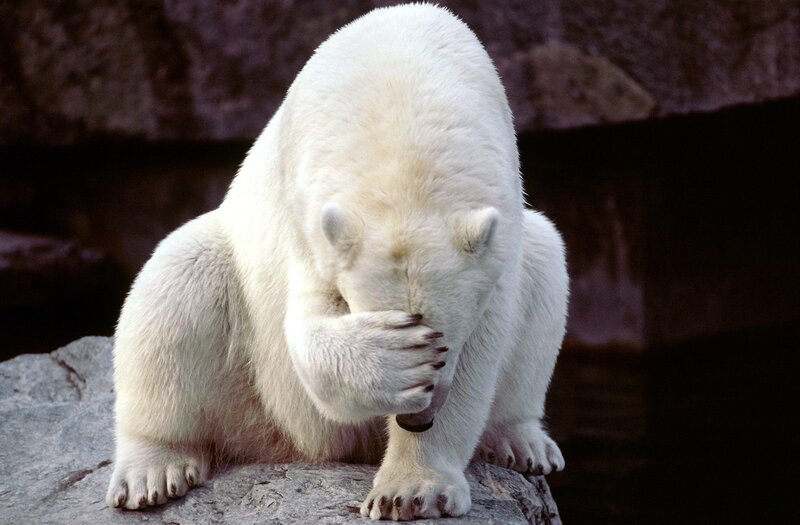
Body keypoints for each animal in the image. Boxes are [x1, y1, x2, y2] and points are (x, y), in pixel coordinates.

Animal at [105, 3, 567, 521]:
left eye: (445, 341)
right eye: (417, 334)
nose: (416, 420)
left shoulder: (498, 232)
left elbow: (484, 347)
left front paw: (411, 491)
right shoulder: (307, 214)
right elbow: (306, 328)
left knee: (546, 262)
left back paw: (522, 442)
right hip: (248, 382)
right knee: (177, 280)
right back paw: (152, 471)